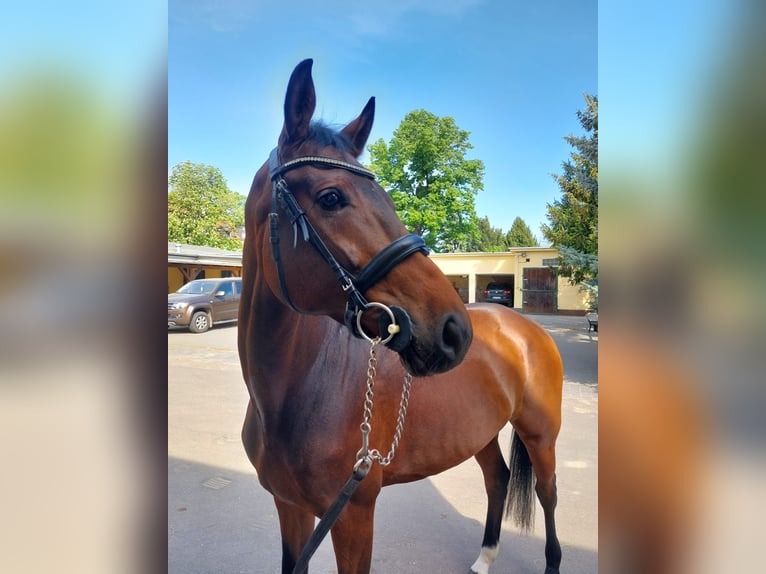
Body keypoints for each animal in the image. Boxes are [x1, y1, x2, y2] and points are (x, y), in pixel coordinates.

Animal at [240, 59, 564, 574]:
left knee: (546, 494)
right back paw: (485, 557)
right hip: (481, 432)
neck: (295, 392)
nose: (454, 331)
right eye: (331, 198)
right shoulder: (289, 508)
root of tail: (527, 328)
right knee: (497, 479)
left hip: (541, 434)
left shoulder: (353, 515)